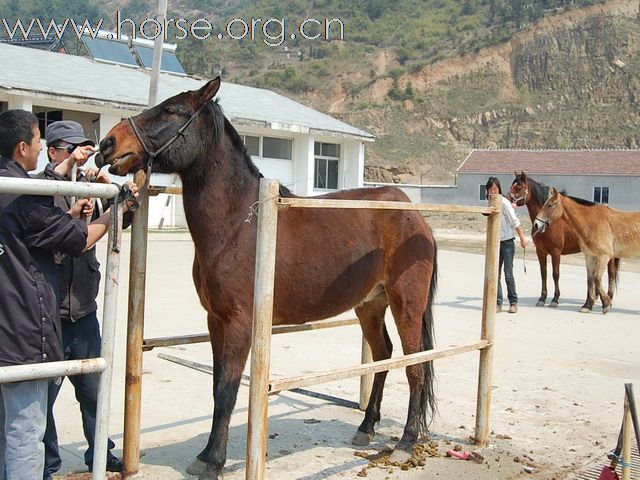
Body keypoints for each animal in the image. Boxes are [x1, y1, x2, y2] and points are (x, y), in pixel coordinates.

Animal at [96, 79, 440, 480]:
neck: (239, 222)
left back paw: (405, 443)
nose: (108, 144)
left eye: (171, 111)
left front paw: (214, 461)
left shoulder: (241, 324)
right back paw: (366, 427)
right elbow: (217, 386)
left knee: (416, 366)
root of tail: (415, 216)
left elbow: (227, 390)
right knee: (383, 355)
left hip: (406, 304)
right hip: (370, 305)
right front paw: (205, 455)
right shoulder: (216, 321)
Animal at [508, 172, 616, 312]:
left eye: (519, 187)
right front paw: (542, 298)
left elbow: (555, 274)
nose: (507, 199)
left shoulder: (556, 252)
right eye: (512, 185)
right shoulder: (540, 252)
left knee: (611, 273)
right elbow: (544, 273)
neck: (549, 223)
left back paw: (608, 299)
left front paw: (555, 299)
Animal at [536, 188, 636, 316]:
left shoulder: (603, 256)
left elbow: (596, 278)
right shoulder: (589, 256)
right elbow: (590, 279)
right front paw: (588, 305)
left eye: (550, 205)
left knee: (611, 274)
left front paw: (606, 304)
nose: (536, 224)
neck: (591, 222)